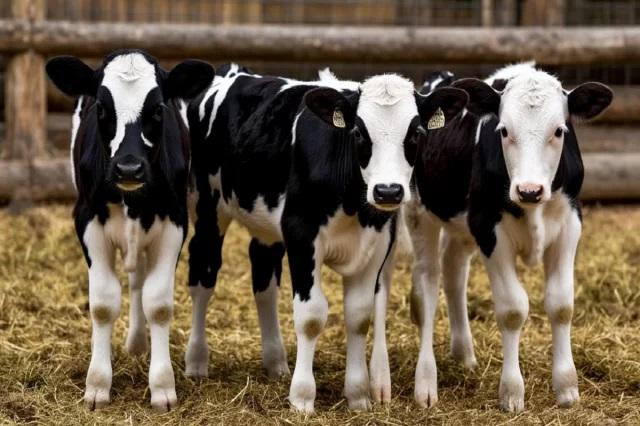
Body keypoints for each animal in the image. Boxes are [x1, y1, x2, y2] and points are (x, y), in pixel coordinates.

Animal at [46, 49, 214, 411]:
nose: (128, 167)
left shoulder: (175, 222)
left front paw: (162, 387)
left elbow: (158, 303)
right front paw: (97, 384)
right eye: (101, 108)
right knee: (134, 280)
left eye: (158, 108)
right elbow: (103, 304)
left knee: (139, 282)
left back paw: (139, 343)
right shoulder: (86, 220)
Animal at [183, 64, 468, 412]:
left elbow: (359, 315)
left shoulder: (377, 243)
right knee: (203, 273)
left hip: (266, 227)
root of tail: (233, 71)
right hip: (207, 206)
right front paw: (302, 397)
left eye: (416, 134)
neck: (352, 203)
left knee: (263, 277)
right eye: (358, 133)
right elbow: (311, 316)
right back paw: (197, 362)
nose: (388, 191)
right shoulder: (301, 235)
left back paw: (276, 363)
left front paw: (358, 395)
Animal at [371, 62, 613, 412]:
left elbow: (561, 304)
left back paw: (464, 355)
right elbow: (513, 310)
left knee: (453, 273)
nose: (529, 190)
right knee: (422, 288)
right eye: (504, 131)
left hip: (460, 229)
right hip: (415, 212)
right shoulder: (488, 229)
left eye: (559, 131)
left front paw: (567, 388)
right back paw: (421, 384)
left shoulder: (570, 224)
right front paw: (512, 392)